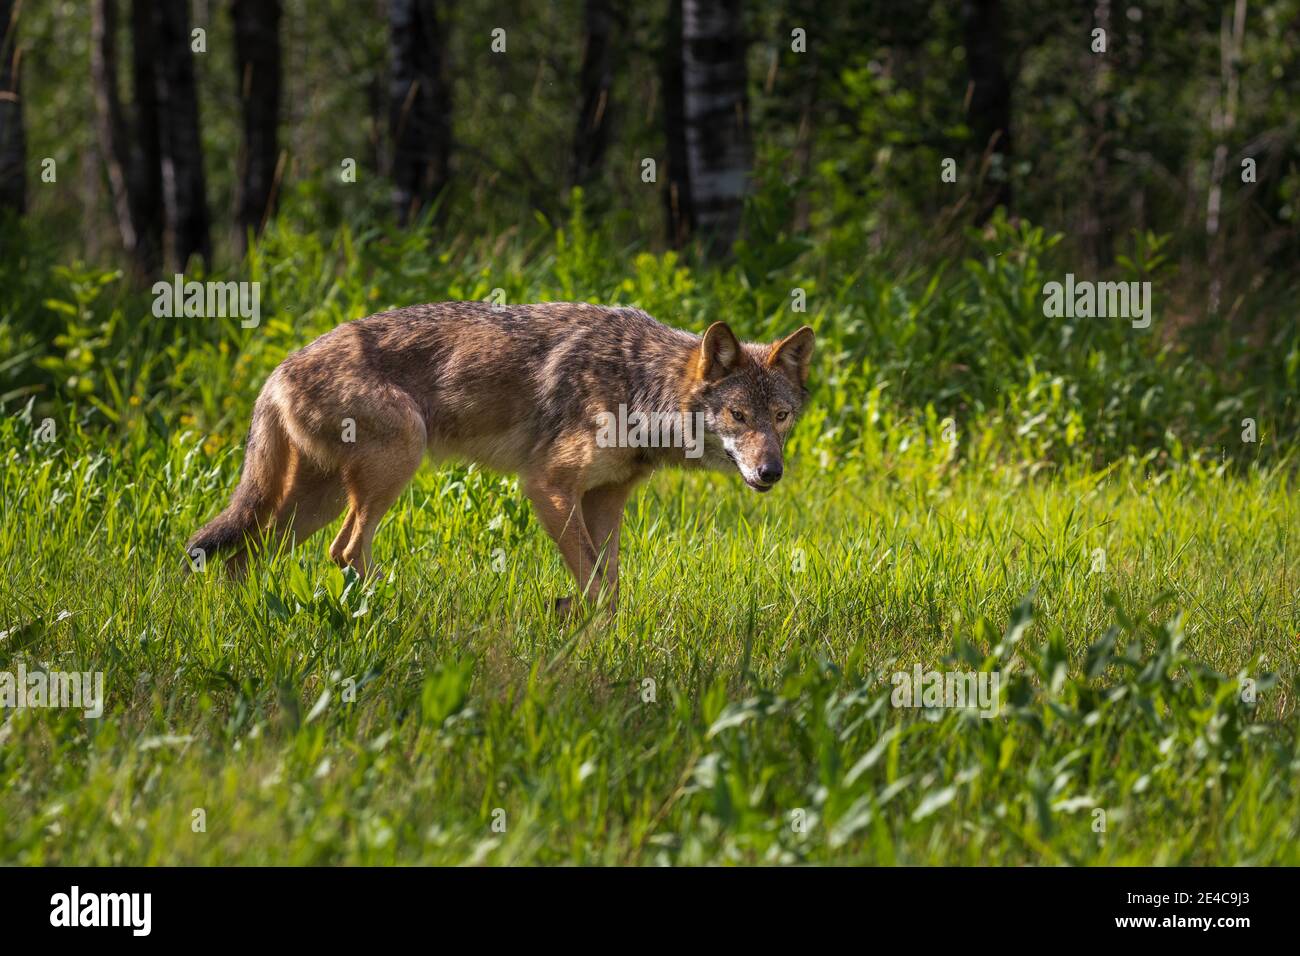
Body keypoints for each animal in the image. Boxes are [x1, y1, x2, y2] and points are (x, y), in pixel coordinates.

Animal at [185, 302, 814, 611]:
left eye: (780, 417)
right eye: (739, 416)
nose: (771, 472)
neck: (641, 385)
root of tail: (278, 371)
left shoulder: (606, 499)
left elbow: (608, 582)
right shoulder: (547, 486)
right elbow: (593, 582)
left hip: (314, 504)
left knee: (243, 557)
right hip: (395, 462)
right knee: (344, 551)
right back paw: (402, 609)